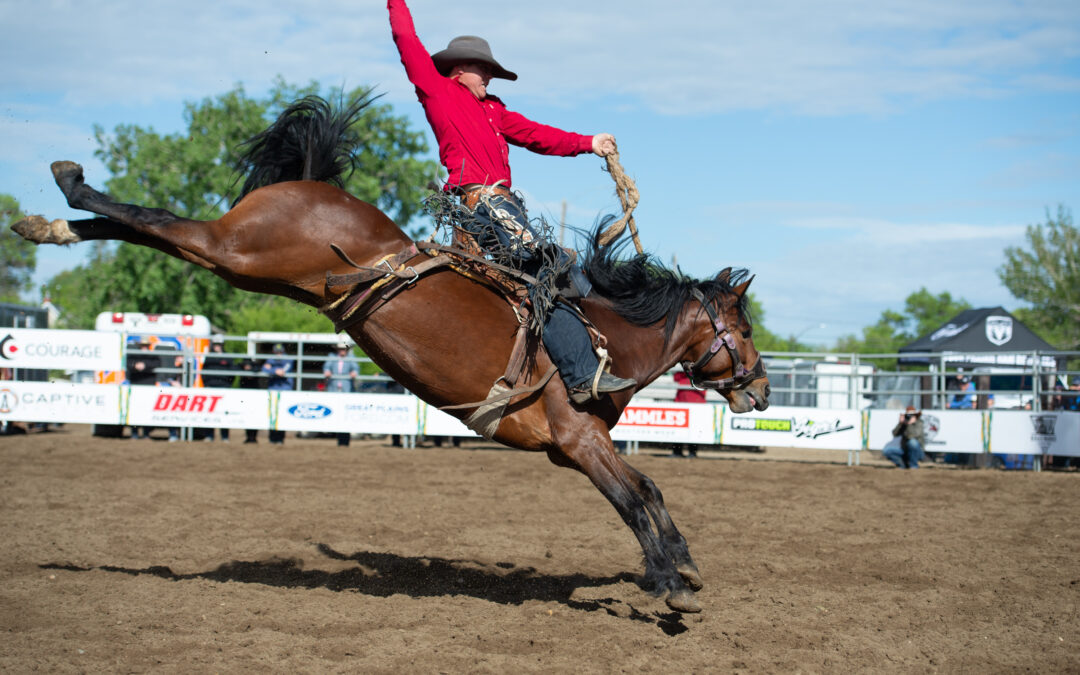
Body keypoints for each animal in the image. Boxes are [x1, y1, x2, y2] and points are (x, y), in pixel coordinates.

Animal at [10, 98, 768, 609]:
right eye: (745, 328)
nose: (760, 389)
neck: (607, 335)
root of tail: (313, 185)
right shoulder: (579, 440)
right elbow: (634, 496)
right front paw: (671, 583)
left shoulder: (578, 447)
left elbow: (651, 489)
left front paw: (684, 566)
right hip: (238, 248)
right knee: (160, 219)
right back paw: (67, 185)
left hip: (245, 265)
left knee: (150, 229)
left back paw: (48, 223)